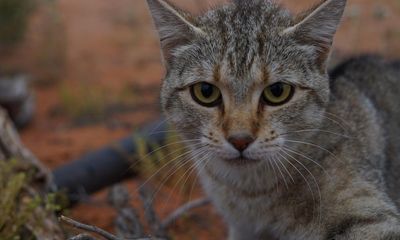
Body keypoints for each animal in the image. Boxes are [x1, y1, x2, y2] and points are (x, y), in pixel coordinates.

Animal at [146, 0, 400, 239]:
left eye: (277, 91)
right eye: (205, 92)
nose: (240, 140)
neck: (249, 193)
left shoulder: (371, 218)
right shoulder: (242, 230)